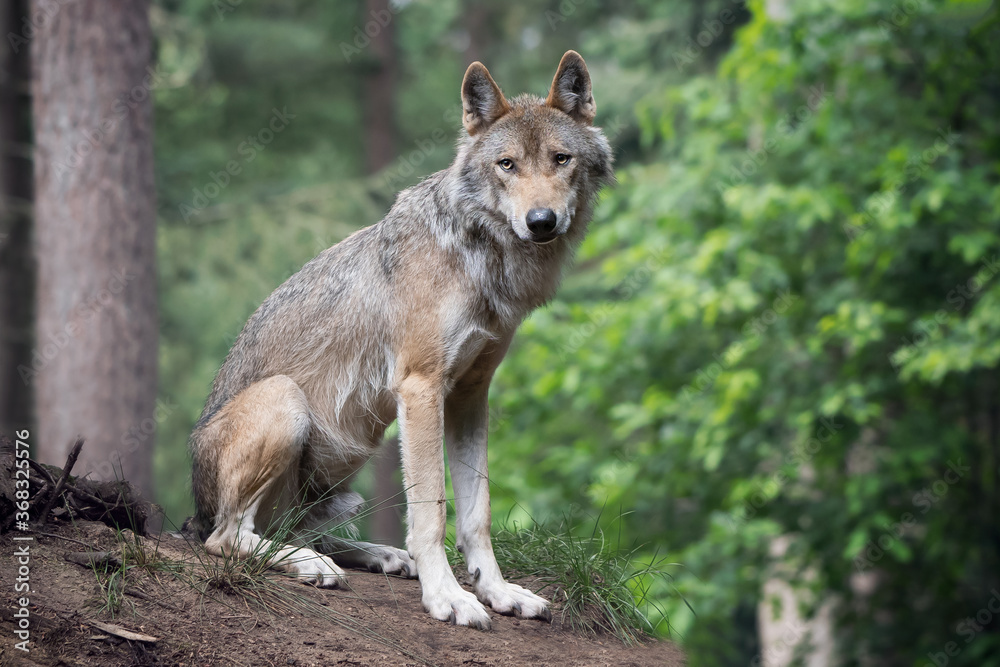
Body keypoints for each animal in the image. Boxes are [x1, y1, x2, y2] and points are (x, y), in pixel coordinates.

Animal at [189, 50, 613, 629]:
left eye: (561, 158)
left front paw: (497, 591)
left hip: (342, 478)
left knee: (291, 529)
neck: (478, 259)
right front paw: (449, 597)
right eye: (507, 165)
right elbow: (432, 511)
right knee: (227, 537)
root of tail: (191, 510)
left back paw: (378, 556)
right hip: (286, 401)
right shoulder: (421, 387)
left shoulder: (470, 395)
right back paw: (311, 564)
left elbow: (476, 513)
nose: (541, 221)